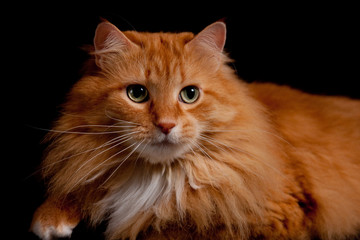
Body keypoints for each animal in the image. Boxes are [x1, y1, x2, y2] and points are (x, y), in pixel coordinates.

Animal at [31, 20, 360, 240]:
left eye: (189, 94)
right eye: (137, 94)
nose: (166, 125)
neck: (160, 176)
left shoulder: (275, 215)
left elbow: (171, 225)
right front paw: (48, 218)